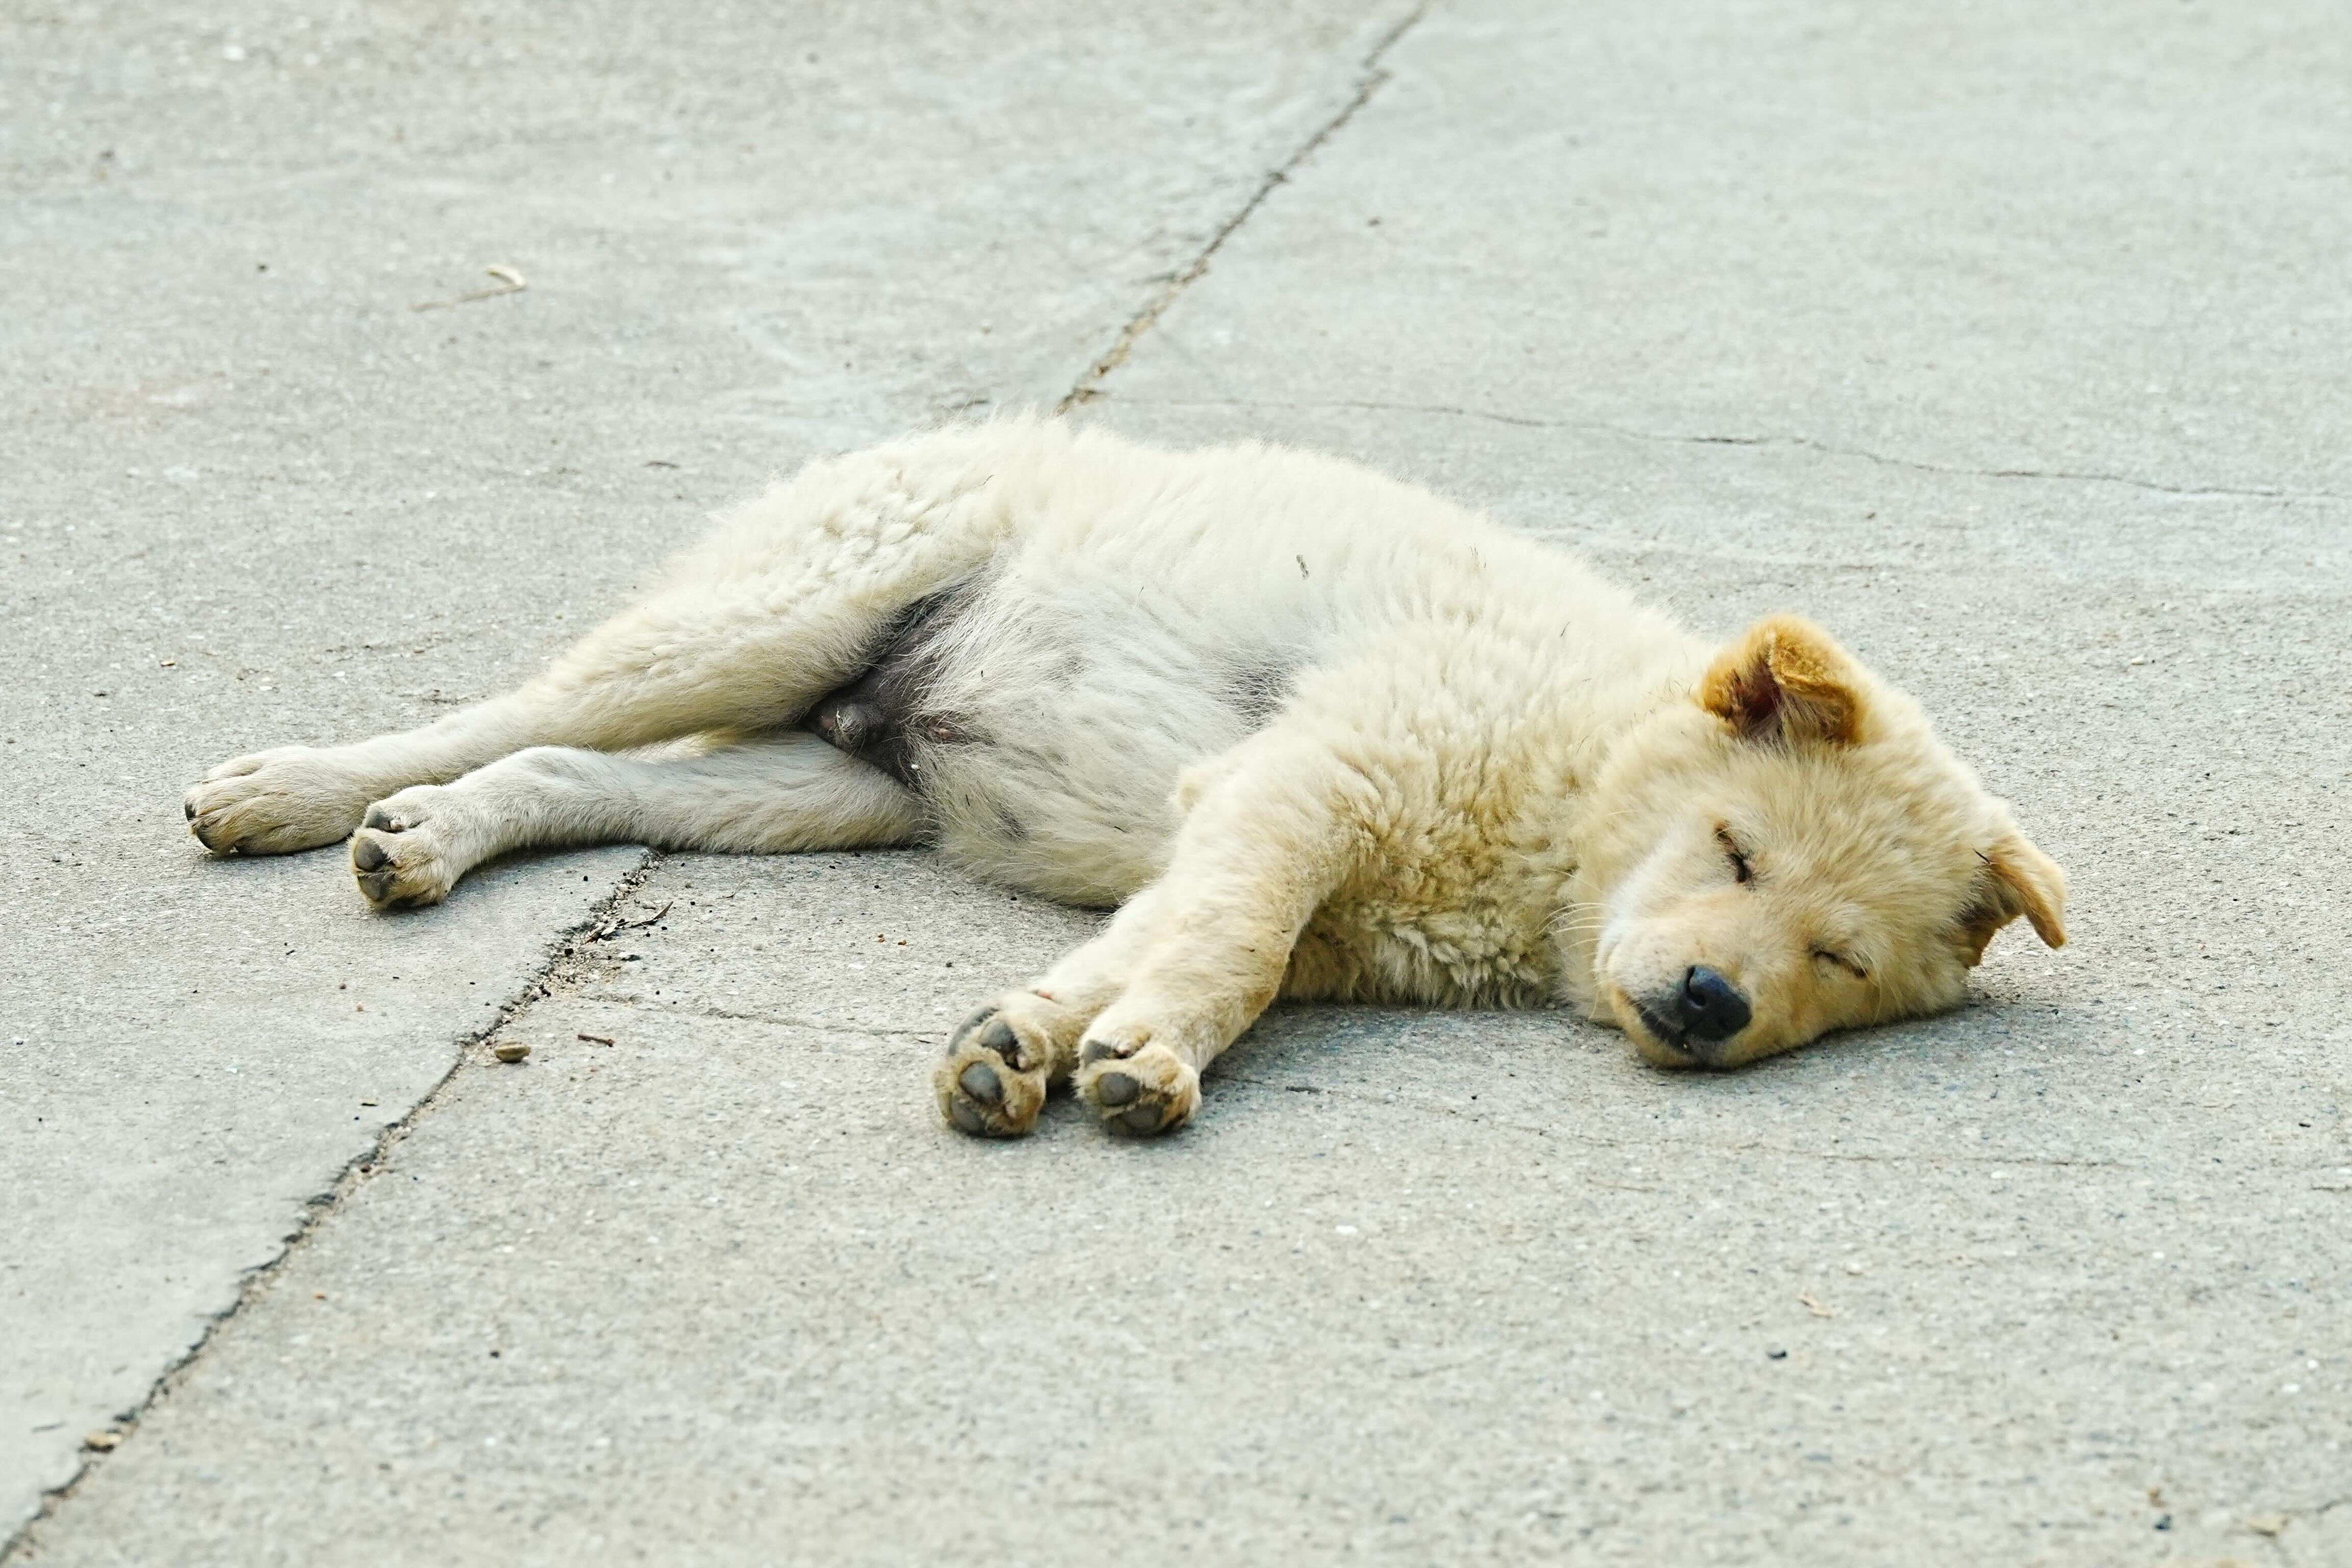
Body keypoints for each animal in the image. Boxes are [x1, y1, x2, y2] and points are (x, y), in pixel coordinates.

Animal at [184, 417, 2067, 1137]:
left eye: (1833, 963)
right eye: (1736, 854)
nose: (1706, 1009)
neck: (1566, 771)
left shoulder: (1248, 848)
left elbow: (1153, 952)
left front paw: (1037, 1042)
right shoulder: (1303, 788)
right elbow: (1224, 949)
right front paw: (1144, 1057)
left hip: (821, 787)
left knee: (570, 765)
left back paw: (433, 841)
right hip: (783, 614)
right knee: (513, 706)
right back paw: (304, 791)